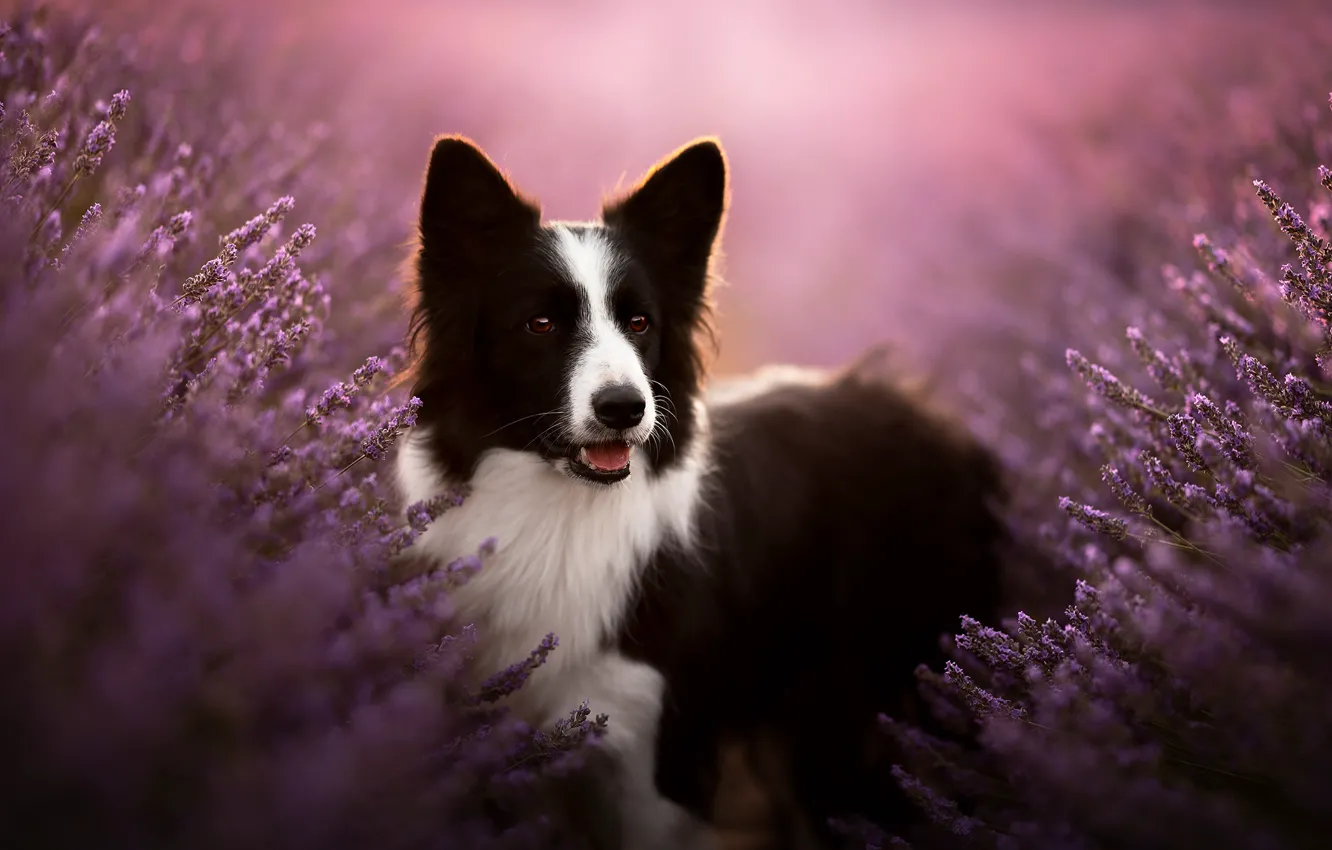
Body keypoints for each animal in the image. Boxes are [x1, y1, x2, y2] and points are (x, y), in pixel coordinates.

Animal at [394, 136, 1006, 847]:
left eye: (639, 323)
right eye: (540, 324)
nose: (625, 408)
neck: (559, 516)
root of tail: (932, 416)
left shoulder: (656, 757)